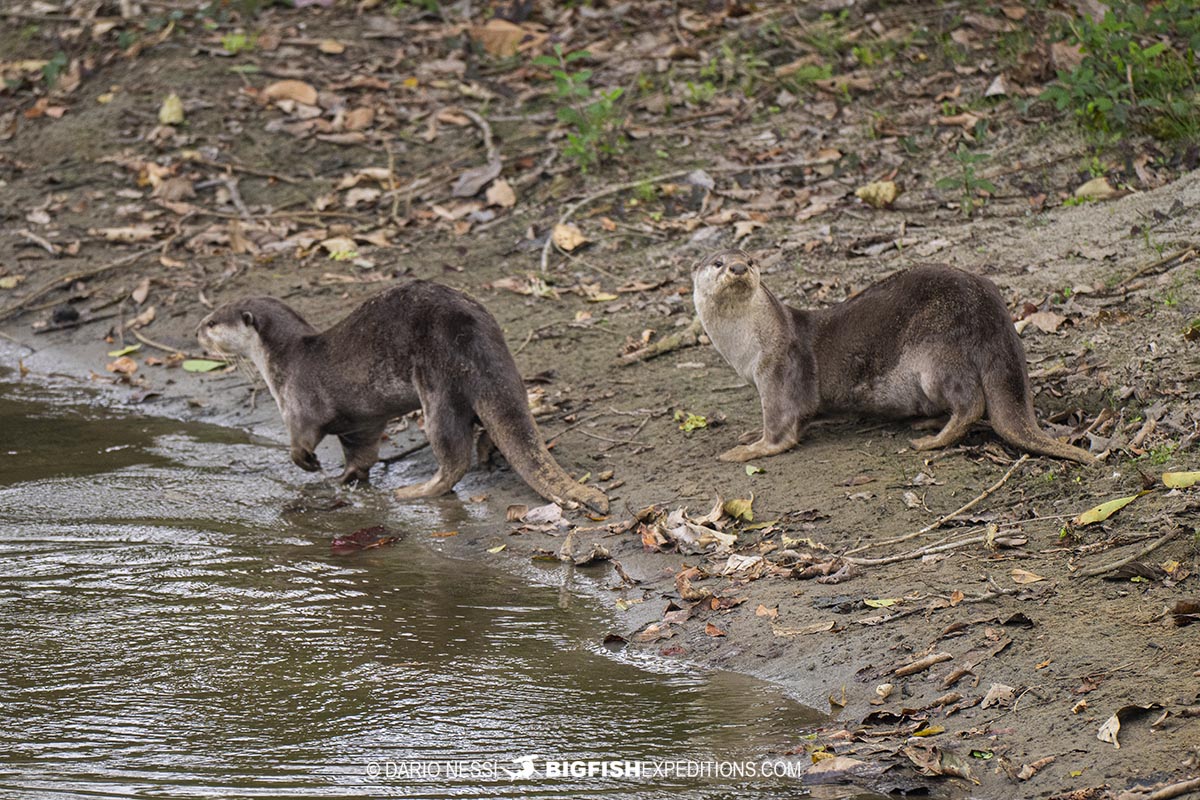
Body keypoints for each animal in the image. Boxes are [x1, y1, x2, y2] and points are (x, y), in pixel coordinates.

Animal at [200, 281, 609, 515]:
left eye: (212, 321)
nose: (196, 330)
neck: (287, 359)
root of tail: (475, 336)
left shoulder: (298, 404)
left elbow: (301, 442)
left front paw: (311, 465)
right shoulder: (363, 423)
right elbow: (361, 452)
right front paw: (347, 479)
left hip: (439, 384)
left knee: (453, 456)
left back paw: (414, 491)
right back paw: (487, 453)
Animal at [696, 247, 1099, 465]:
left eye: (750, 260)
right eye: (717, 262)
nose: (737, 268)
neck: (748, 347)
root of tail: (991, 305)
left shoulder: (779, 369)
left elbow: (781, 430)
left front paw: (746, 449)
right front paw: (751, 432)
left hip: (936, 352)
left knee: (971, 402)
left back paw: (930, 440)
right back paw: (928, 424)